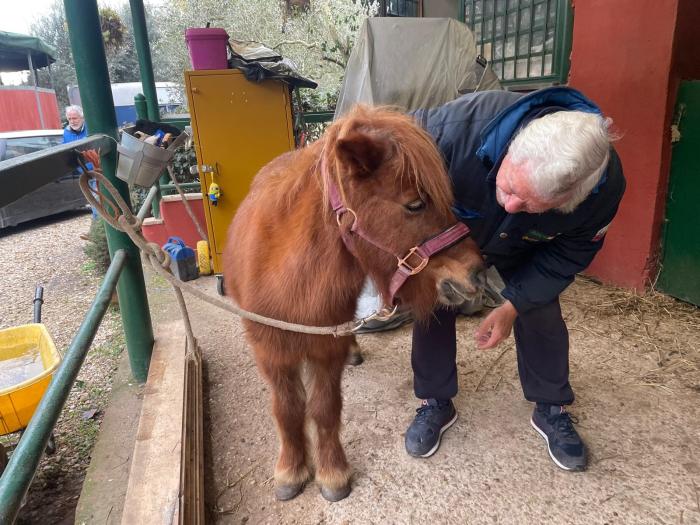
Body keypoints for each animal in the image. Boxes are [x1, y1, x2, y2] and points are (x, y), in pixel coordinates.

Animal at [223, 104, 485, 502]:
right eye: (415, 204)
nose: (476, 273)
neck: (288, 275)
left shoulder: (326, 348)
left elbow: (325, 408)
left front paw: (332, 473)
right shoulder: (271, 351)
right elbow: (287, 408)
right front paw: (291, 469)